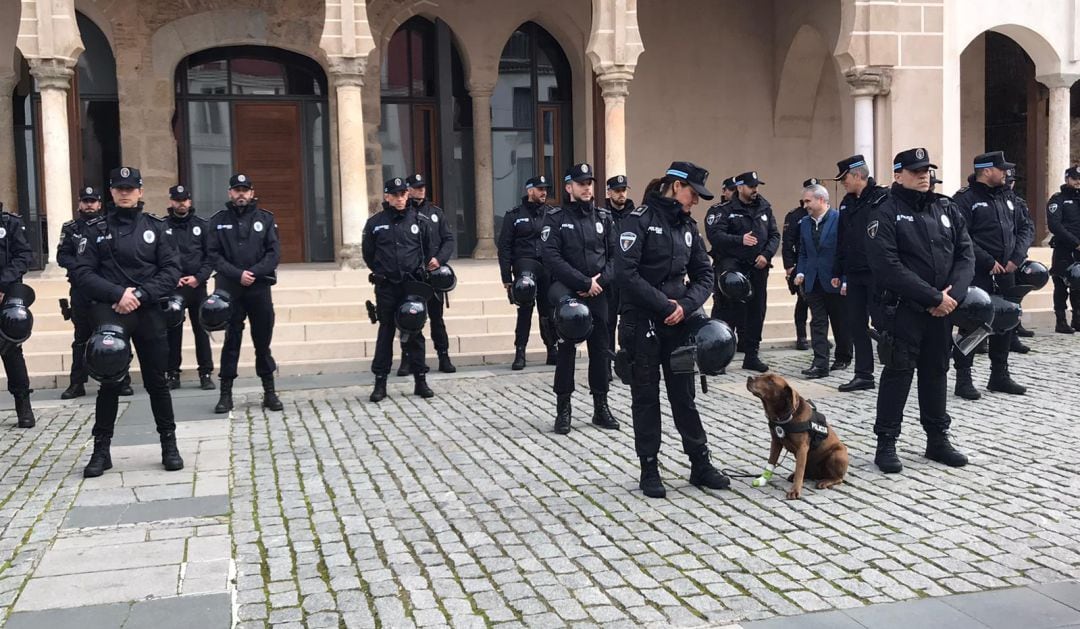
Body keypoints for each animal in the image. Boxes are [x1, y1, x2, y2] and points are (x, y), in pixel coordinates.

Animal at [747, 373, 846, 503]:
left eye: (771, 381)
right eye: (762, 375)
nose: (749, 378)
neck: (784, 416)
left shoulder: (802, 448)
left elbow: (799, 470)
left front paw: (795, 491)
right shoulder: (775, 442)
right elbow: (771, 462)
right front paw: (763, 480)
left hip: (838, 454)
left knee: (838, 478)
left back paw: (825, 481)